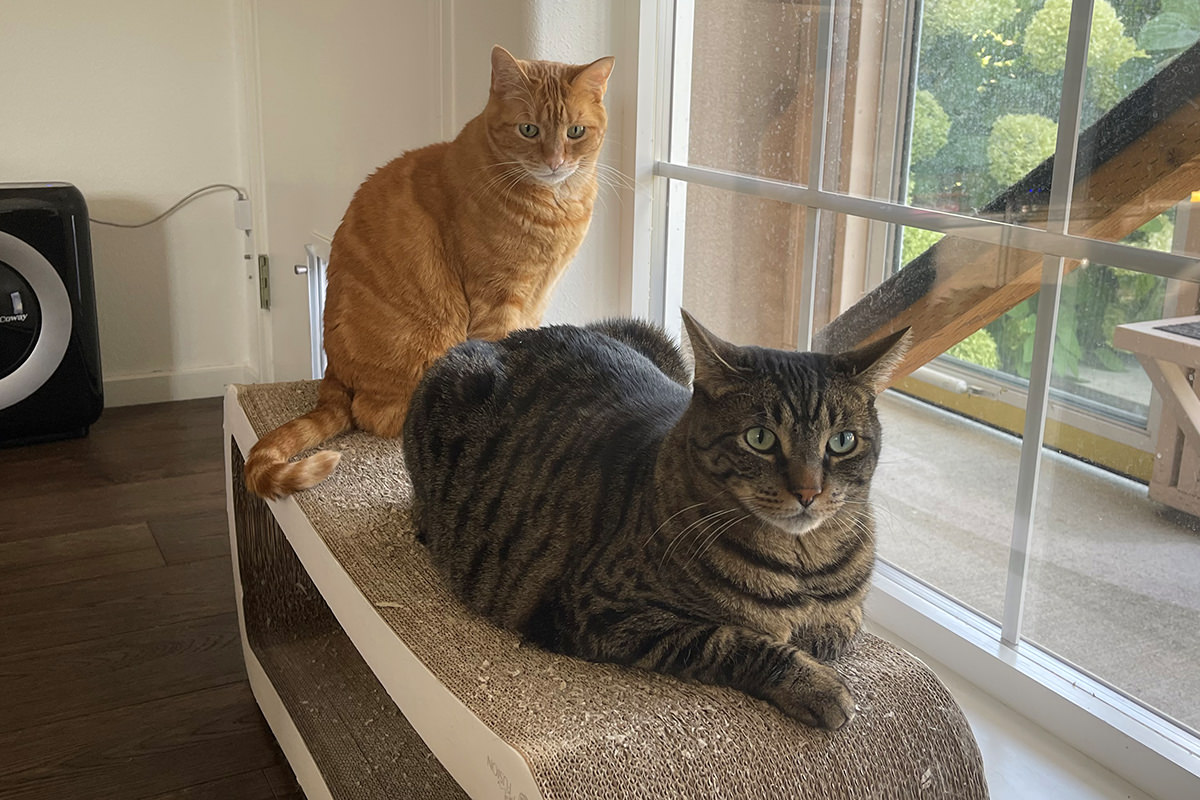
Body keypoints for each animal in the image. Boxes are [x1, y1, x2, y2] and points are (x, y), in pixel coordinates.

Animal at [246, 47, 619, 496]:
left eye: (576, 131)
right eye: (528, 130)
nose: (554, 161)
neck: (555, 204)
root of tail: (332, 370)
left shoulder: (536, 299)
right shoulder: (497, 298)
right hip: (427, 344)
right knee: (374, 414)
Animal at [403, 311, 907, 734]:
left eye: (842, 442)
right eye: (760, 438)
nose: (808, 492)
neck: (803, 564)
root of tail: (510, 338)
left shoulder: (845, 612)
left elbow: (839, 627)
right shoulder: (604, 611)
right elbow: (736, 641)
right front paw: (816, 684)